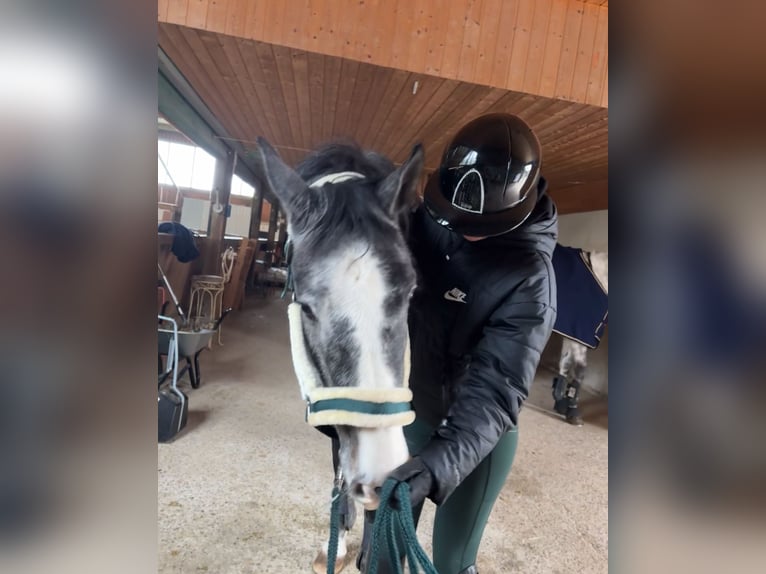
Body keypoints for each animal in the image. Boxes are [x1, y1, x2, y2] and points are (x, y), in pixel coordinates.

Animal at [256, 138, 426, 572]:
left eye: (410, 293)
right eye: (307, 307)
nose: (381, 473)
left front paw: (371, 550)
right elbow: (339, 462)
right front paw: (340, 534)